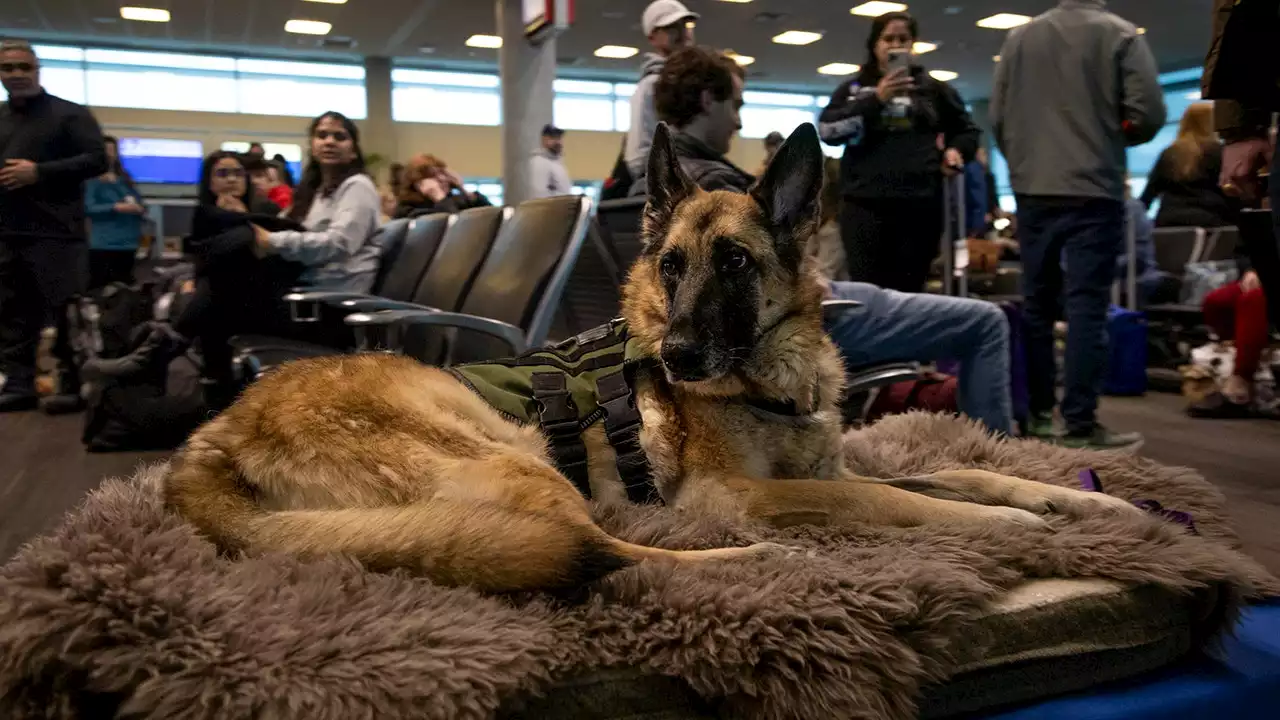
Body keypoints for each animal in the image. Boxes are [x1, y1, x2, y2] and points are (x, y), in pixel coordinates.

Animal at [165, 124, 1136, 589]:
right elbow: (891, 500)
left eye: (734, 263)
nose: (674, 355)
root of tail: (210, 442)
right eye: (670, 266)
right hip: (513, 457)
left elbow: (961, 475)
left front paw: (1081, 502)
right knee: (594, 549)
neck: (772, 377)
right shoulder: (745, 493)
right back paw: (758, 562)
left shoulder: (826, 461)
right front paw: (1005, 529)